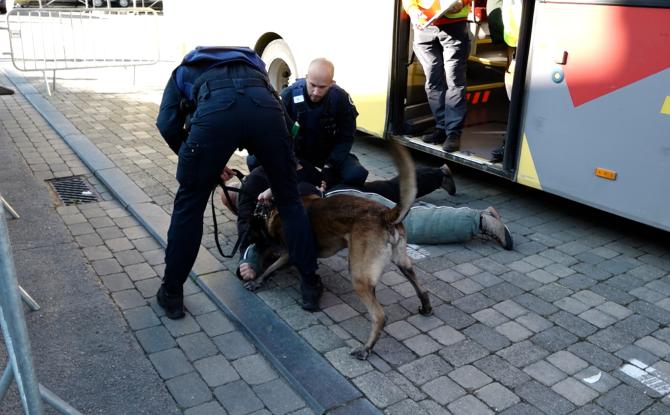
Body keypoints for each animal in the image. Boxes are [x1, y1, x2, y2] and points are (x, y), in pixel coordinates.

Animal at [248, 143, 436, 360]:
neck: (273, 212)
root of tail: (385, 214)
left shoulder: (289, 253)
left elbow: (271, 268)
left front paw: (258, 280)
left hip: (359, 276)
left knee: (379, 316)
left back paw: (365, 348)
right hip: (402, 264)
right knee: (421, 288)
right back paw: (426, 308)